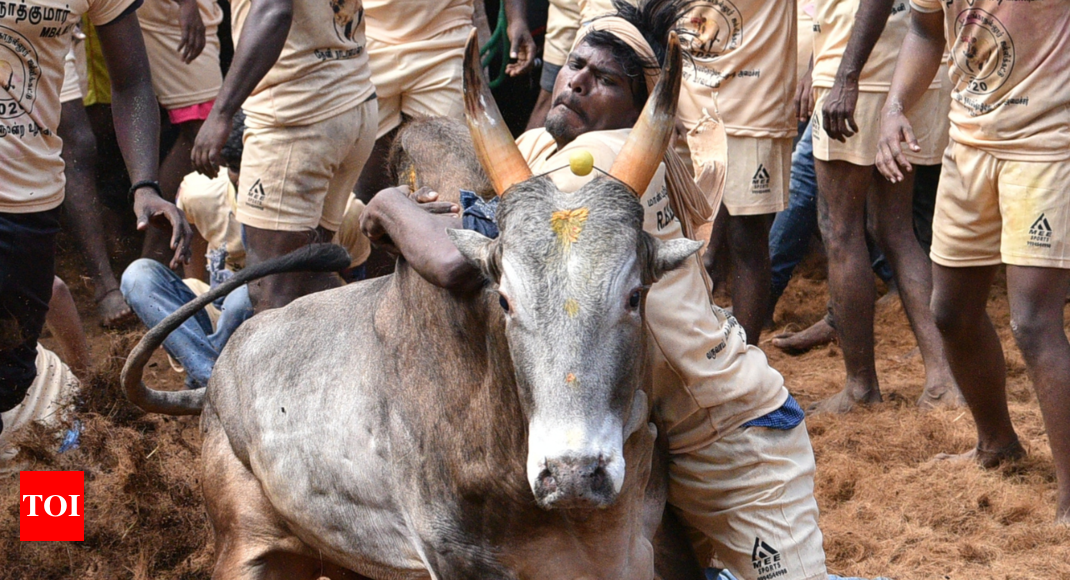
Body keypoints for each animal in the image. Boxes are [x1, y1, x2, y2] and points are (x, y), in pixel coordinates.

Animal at [123, 31, 701, 580]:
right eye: (505, 300)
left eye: (635, 295)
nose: (574, 474)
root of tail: (217, 380)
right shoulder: (454, 560)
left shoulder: (644, 542)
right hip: (244, 545)